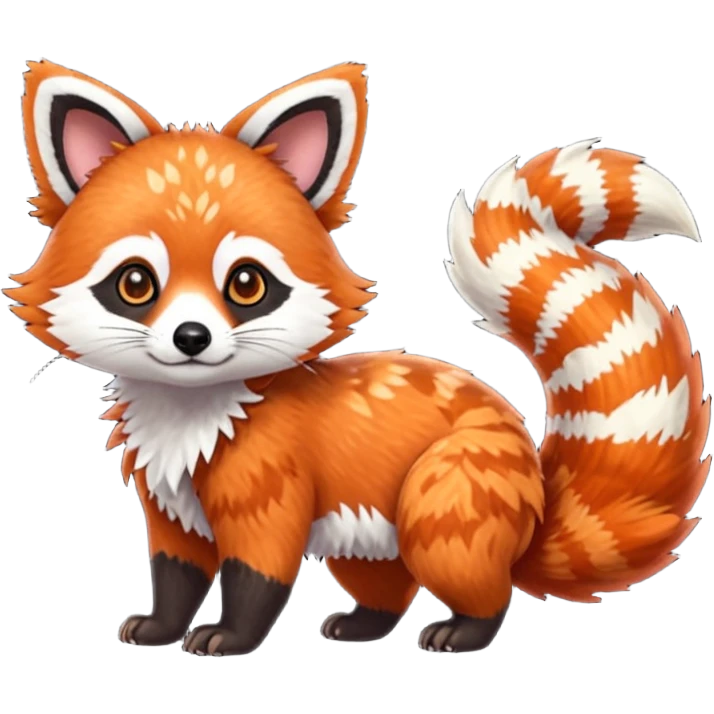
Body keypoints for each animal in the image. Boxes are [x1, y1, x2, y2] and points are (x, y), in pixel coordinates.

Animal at [9, 58, 710, 656]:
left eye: (246, 283)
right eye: (135, 283)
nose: (190, 337)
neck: (189, 423)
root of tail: (535, 504)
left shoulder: (272, 488)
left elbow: (258, 574)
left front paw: (229, 637)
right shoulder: (169, 507)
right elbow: (176, 573)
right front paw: (160, 627)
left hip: (442, 499)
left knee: (477, 582)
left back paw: (463, 632)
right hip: (366, 540)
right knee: (385, 588)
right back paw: (363, 625)